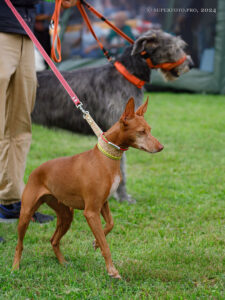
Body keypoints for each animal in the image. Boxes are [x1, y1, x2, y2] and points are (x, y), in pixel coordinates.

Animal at [12, 97, 163, 278]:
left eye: (150, 130)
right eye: (141, 131)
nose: (161, 147)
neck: (107, 157)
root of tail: (35, 171)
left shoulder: (103, 203)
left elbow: (110, 225)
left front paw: (96, 242)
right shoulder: (91, 211)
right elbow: (106, 246)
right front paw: (112, 270)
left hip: (66, 215)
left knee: (53, 240)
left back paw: (63, 263)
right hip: (26, 214)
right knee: (20, 244)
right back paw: (15, 267)